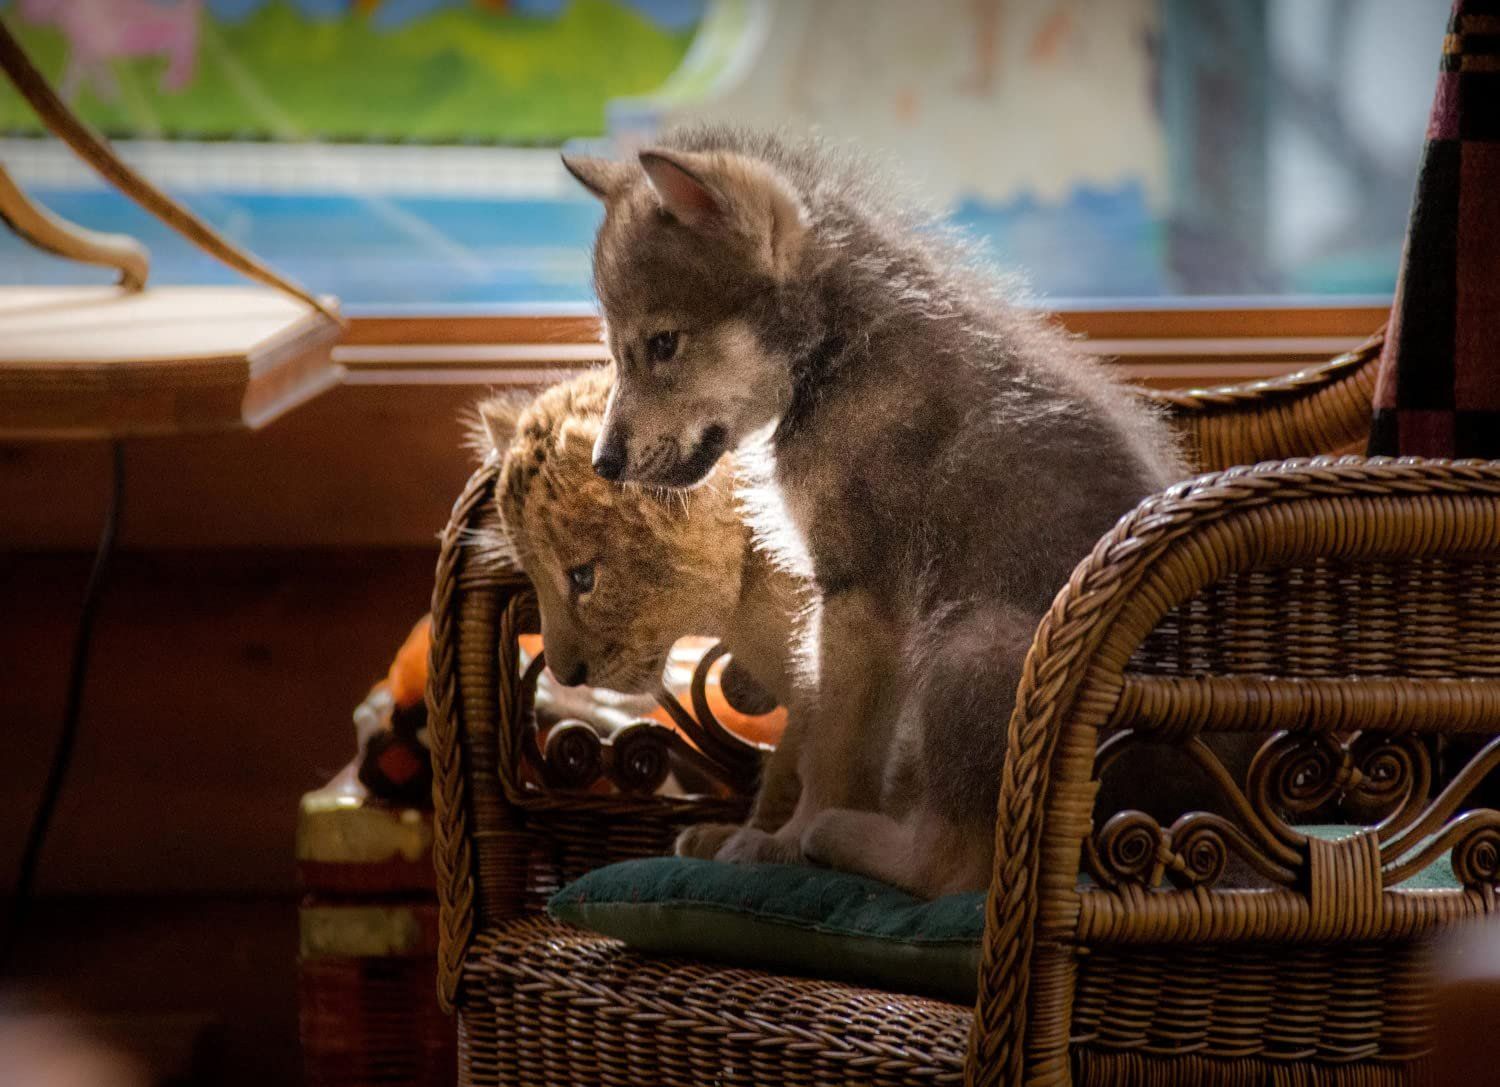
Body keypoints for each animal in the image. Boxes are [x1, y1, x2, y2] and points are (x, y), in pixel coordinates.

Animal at [562, 128, 1184, 897]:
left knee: (954, 867)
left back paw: (842, 839)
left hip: (969, 646)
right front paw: (739, 836)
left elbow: (833, 754)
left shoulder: (859, 600)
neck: (836, 356)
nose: (603, 463)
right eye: (617, 350)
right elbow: (811, 739)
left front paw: (782, 844)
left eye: (663, 344)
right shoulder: (831, 612)